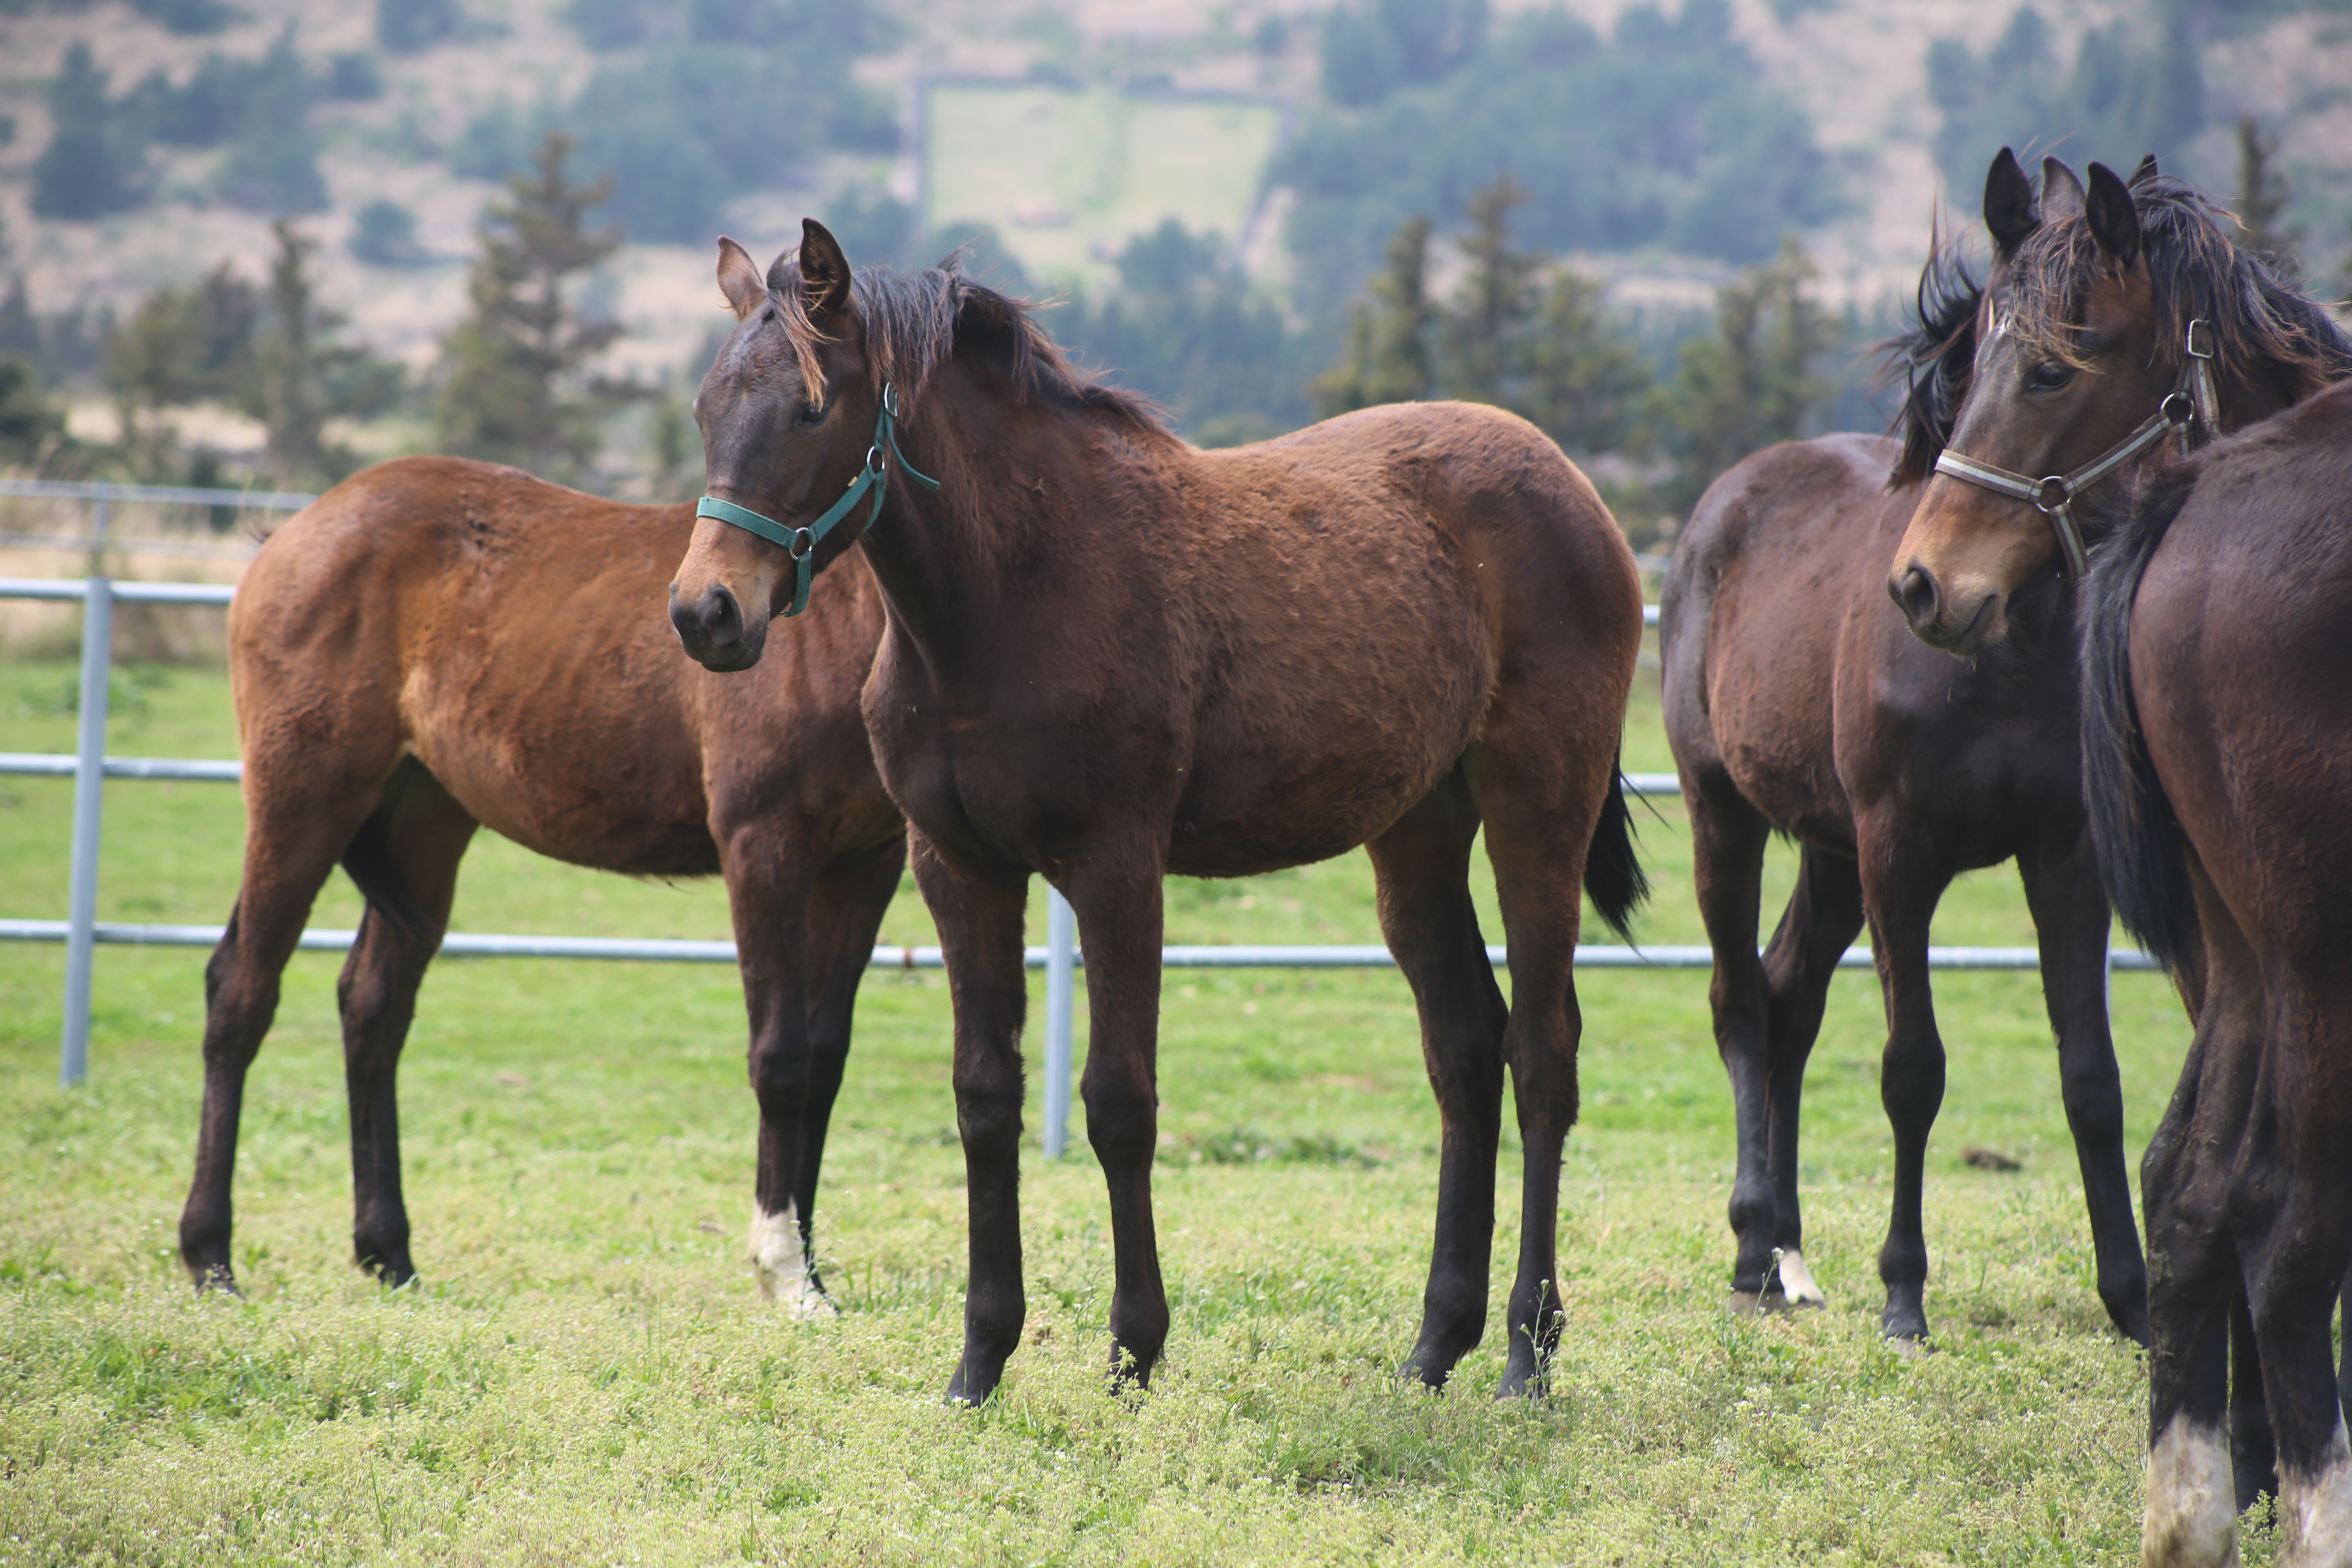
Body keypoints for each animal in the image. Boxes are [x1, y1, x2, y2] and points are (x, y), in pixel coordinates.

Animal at [178, 456, 898, 1316]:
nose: (714, 618)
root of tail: (294, 533)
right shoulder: (765, 848)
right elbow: (782, 1058)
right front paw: (786, 1277)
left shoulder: (866, 867)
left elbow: (825, 1062)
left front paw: (809, 1272)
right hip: (303, 798)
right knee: (242, 992)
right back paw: (210, 1256)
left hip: (425, 823)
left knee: (372, 1009)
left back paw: (389, 1252)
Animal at [673, 223, 1646, 1410]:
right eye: (706, 409)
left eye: (813, 408)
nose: (705, 613)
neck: (1006, 599)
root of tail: (1577, 491)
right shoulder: (958, 866)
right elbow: (984, 1096)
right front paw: (979, 1361)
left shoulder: (1115, 865)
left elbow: (1118, 1101)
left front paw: (1134, 1349)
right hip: (1416, 830)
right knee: (1464, 1050)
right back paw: (1432, 1348)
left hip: (1536, 806)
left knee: (1543, 1054)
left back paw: (1524, 1354)